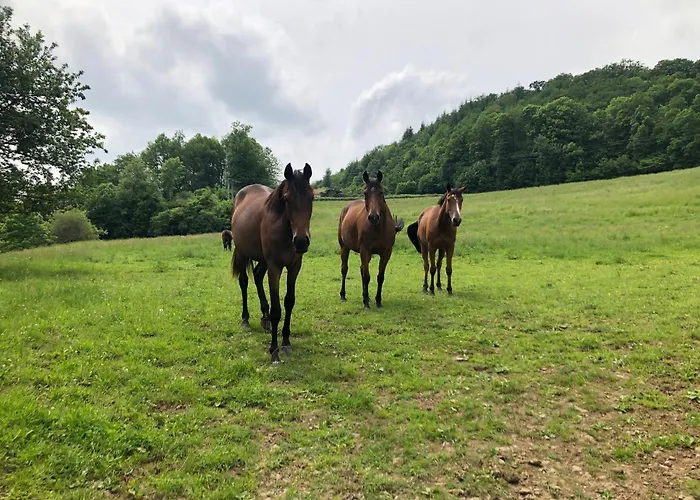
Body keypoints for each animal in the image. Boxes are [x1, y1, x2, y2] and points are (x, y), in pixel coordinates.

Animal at [230, 163, 314, 364]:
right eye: (286, 199)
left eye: (312, 197)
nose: (301, 241)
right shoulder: (275, 266)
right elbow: (277, 308)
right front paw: (274, 352)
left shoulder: (294, 266)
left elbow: (289, 302)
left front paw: (286, 342)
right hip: (244, 254)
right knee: (244, 282)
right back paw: (245, 319)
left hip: (262, 260)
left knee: (257, 277)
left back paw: (265, 319)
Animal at [337, 170, 404, 310]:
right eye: (365, 192)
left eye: (381, 192)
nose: (373, 217)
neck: (377, 228)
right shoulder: (365, 250)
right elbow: (367, 277)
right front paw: (366, 304)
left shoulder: (386, 252)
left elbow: (380, 277)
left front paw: (378, 301)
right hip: (344, 247)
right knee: (344, 269)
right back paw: (343, 295)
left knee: (361, 269)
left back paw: (366, 296)